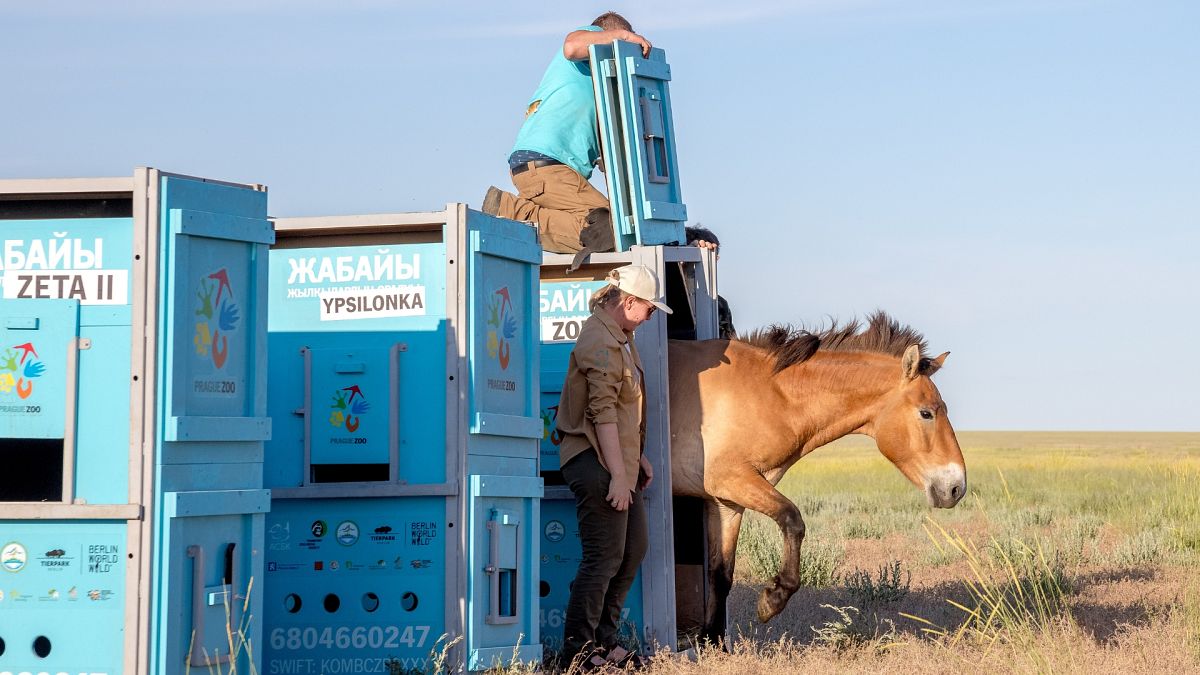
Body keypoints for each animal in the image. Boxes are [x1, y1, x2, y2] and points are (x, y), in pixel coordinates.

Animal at [667, 312, 966, 643]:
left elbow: (720, 573)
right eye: (926, 413)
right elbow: (792, 519)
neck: (772, 394)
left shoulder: (725, 503)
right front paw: (773, 599)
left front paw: (710, 640)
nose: (956, 487)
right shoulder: (734, 480)